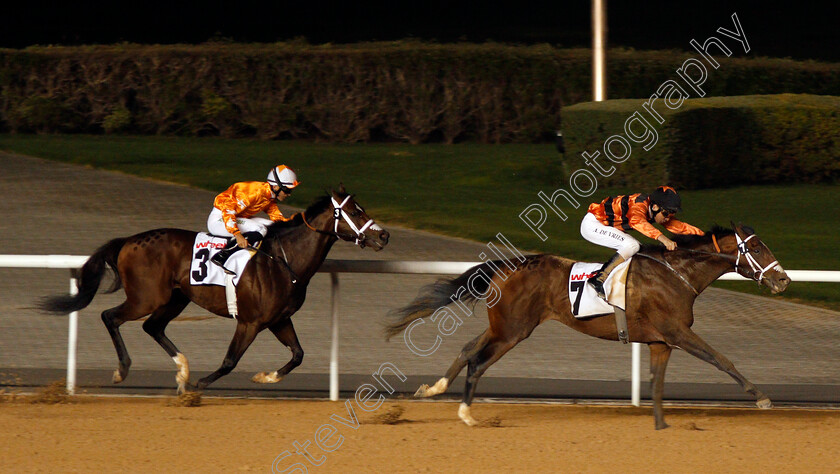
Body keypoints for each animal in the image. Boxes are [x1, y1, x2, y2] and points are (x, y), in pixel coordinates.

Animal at [41, 185, 388, 392]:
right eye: (355, 212)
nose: (383, 235)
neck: (284, 260)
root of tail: (127, 241)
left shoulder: (279, 319)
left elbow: (298, 354)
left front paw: (266, 376)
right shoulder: (250, 322)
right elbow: (230, 360)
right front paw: (199, 385)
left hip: (175, 297)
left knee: (153, 327)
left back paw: (182, 369)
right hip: (146, 297)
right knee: (110, 317)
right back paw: (123, 370)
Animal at [384, 223, 792, 430]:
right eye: (757, 248)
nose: (783, 280)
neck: (678, 275)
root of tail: (507, 266)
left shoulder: (660, 342)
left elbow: (657, 384)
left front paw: (661, 425)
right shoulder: (677, 333)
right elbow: (722, 359)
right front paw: (761, 397)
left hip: (502, 325)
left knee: (468, 349)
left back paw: (434, 388)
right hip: (513, 330)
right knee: (479, 361)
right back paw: (466, 413)